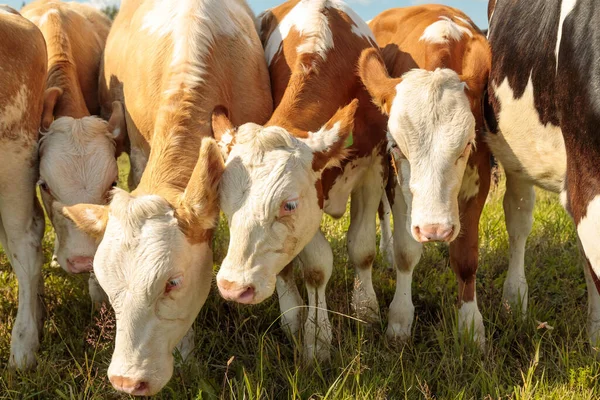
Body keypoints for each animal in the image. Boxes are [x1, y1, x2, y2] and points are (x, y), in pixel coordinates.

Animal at [216, 0, 390, 362]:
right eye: (224, 205)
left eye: (289, 204)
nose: (233, 288)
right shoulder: (314, 200)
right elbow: (316, 267)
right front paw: (316, 337)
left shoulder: (373, 167)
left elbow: (362, 249)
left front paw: (366, 310)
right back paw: (291, 316)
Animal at [356, 3, 492, 344]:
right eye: (397, 147)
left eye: (466, 145)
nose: (435, 231)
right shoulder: (396, 181)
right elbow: (406, 252)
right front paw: (400, 318)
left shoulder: (479, 177)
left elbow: (466, 258)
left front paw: (471, 325)